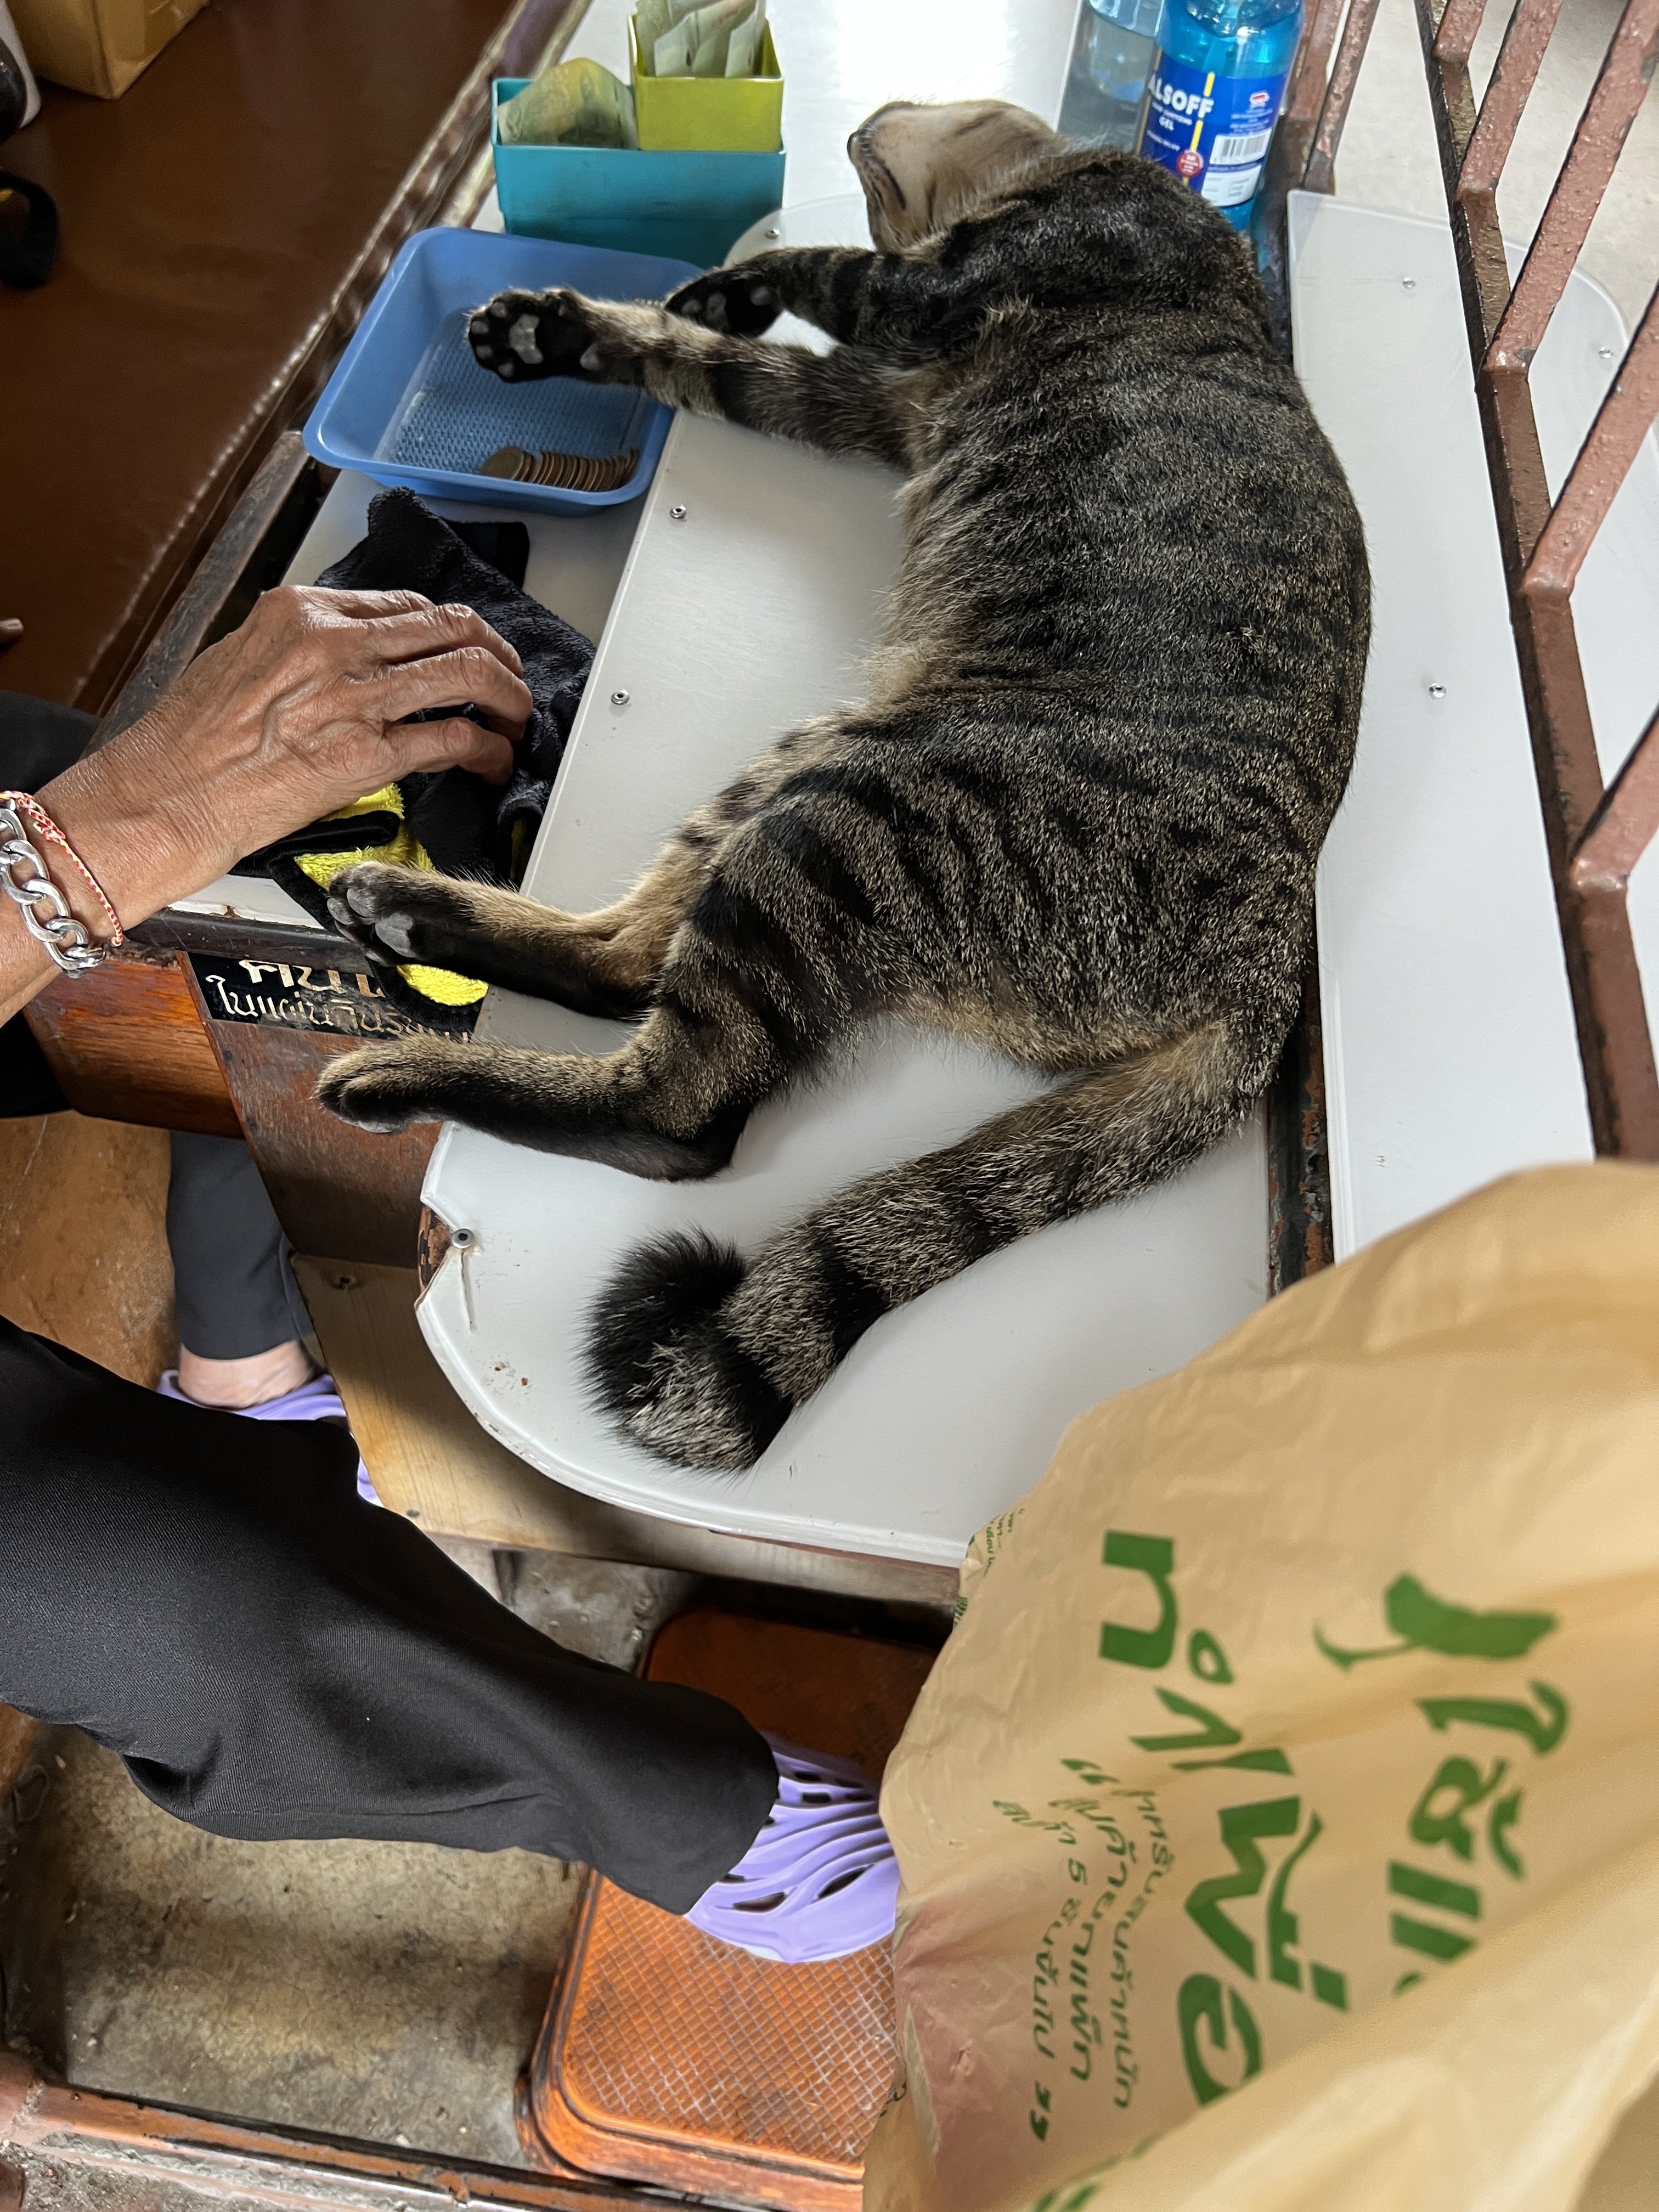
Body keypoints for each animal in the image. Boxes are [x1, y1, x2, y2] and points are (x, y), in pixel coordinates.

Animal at [318, 108, 1371, 1486]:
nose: (868, 131)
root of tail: (1265, 979)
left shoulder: (934, 297)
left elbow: (816, 276)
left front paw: (702, 293)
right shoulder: (871, 394)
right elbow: (709, 361)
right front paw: (613, 325)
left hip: (845, 825)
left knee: (681, 1110)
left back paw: (398, 1072)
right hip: (809, 764)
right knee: (625, 962)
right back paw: (407, 915)